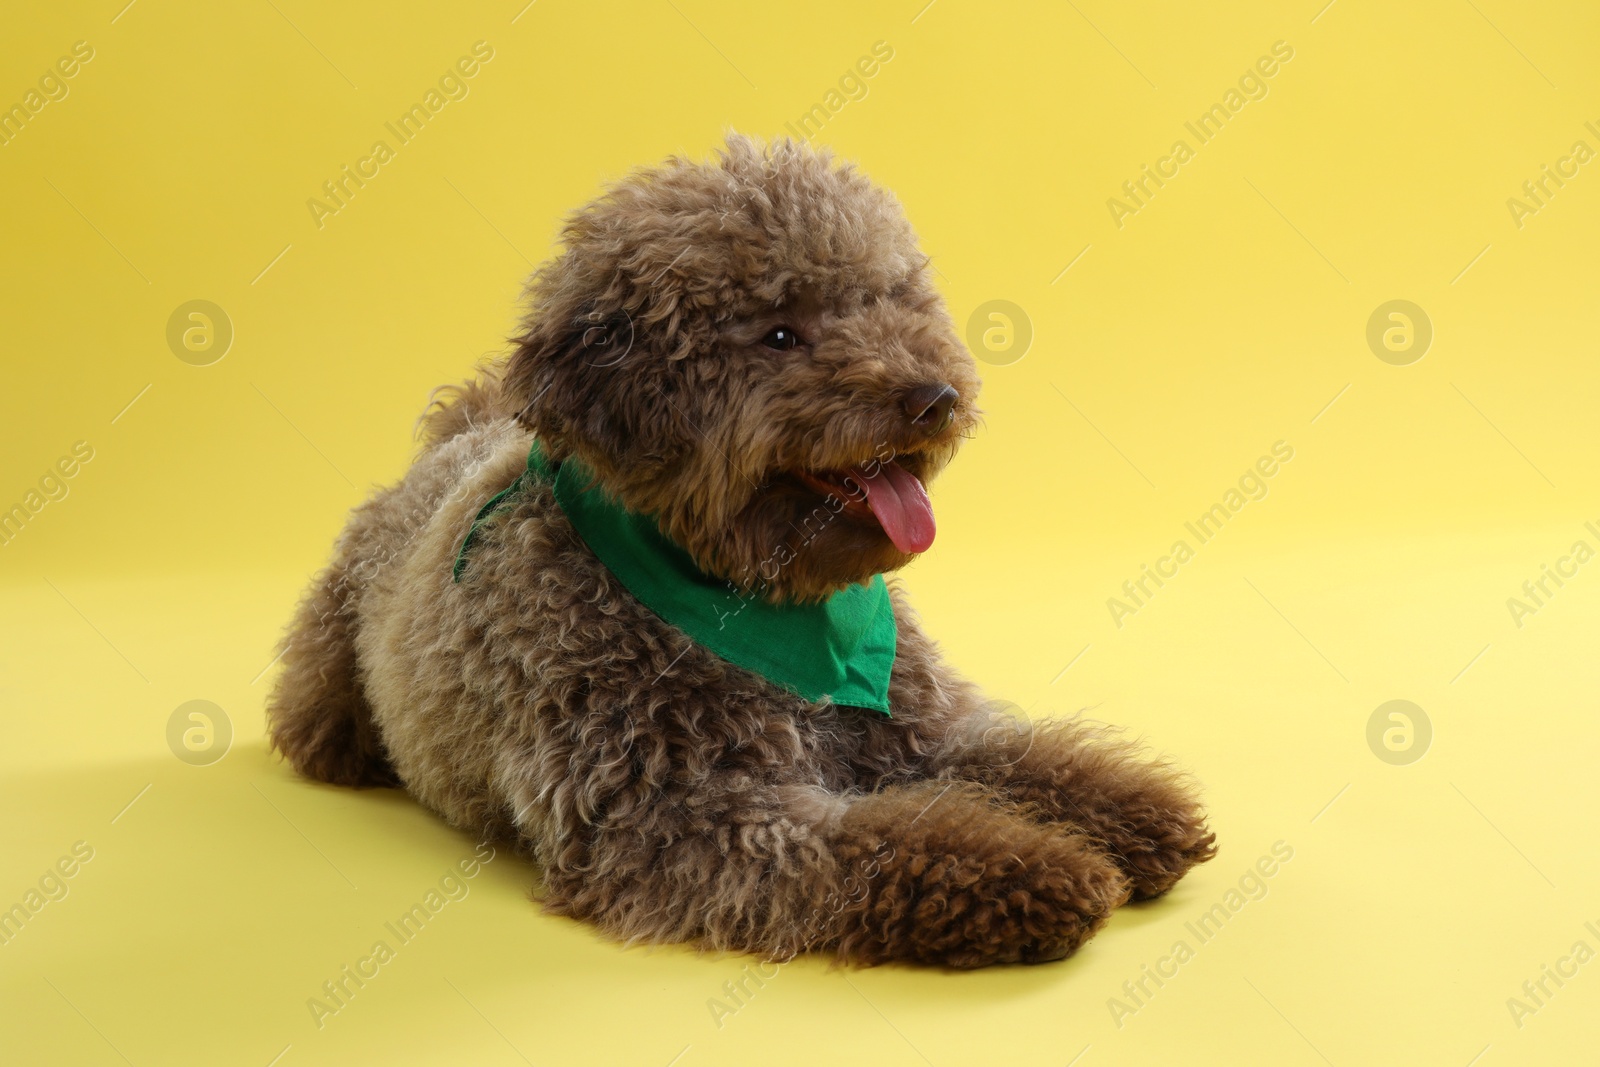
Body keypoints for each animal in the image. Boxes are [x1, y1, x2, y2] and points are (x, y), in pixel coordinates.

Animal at [268, 133, 1209, 966]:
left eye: (888, 298)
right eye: (780, 334)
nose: (936, 397)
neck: (766, 599)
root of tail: (461, 431)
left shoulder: (924, 729)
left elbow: (1019, 754)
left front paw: (1131, 810)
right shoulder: (676, 816)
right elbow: (888, 839)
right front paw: (1044, 869)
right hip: (331, 680)